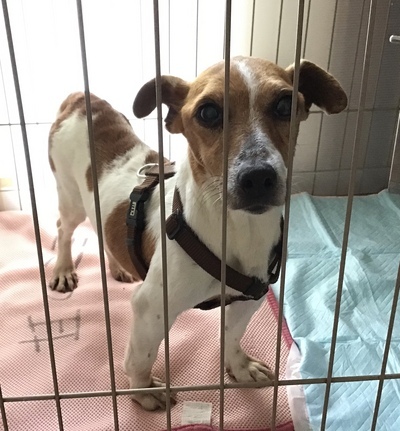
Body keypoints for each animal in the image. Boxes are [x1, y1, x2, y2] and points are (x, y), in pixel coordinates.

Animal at [48, 56, 347, 410]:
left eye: (285, 104)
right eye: (208, 112)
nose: (257, 177)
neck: (239, 231)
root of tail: (83, 100)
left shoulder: (251, 298)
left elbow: (232, 335)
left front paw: (240, 367)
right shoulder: (152, 307)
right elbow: (140, 356)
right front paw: (143, 390)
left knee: (102, 231)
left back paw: (119, 266)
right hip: (70, 198)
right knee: (64, 229)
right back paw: (63, 269)